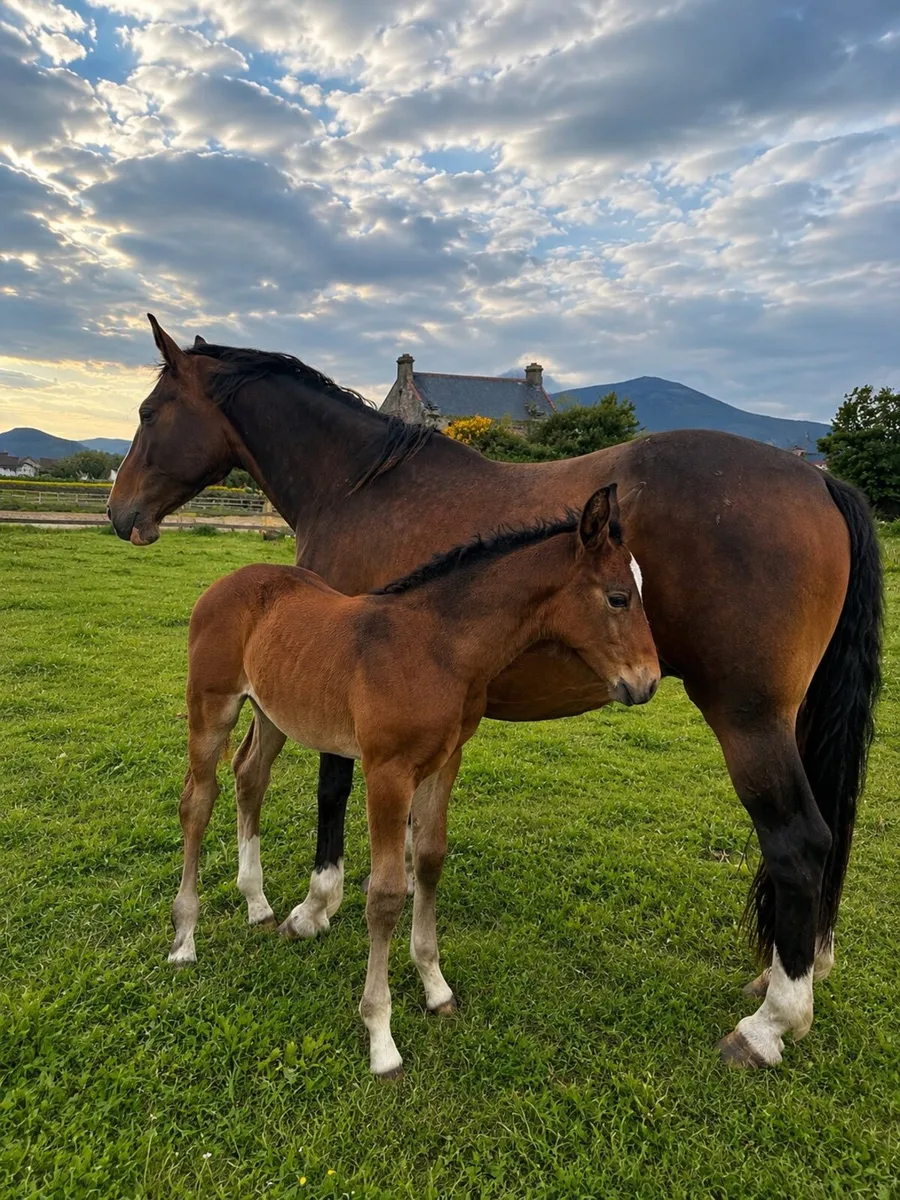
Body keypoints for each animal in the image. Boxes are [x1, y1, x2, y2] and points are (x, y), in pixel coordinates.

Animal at [174, 487, 659, 1076]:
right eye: (618, 598)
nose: (647, 682)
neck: (437, 648)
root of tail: (226, 582)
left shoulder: (445, 762)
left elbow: (428, 862)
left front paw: (434, 985)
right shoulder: (388, 770)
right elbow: (385, 895)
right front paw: (380, 1035)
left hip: (273, 712)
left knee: (250, 777)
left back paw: (257, 904)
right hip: (211, 706)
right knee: (198, 800)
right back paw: (184, 938)